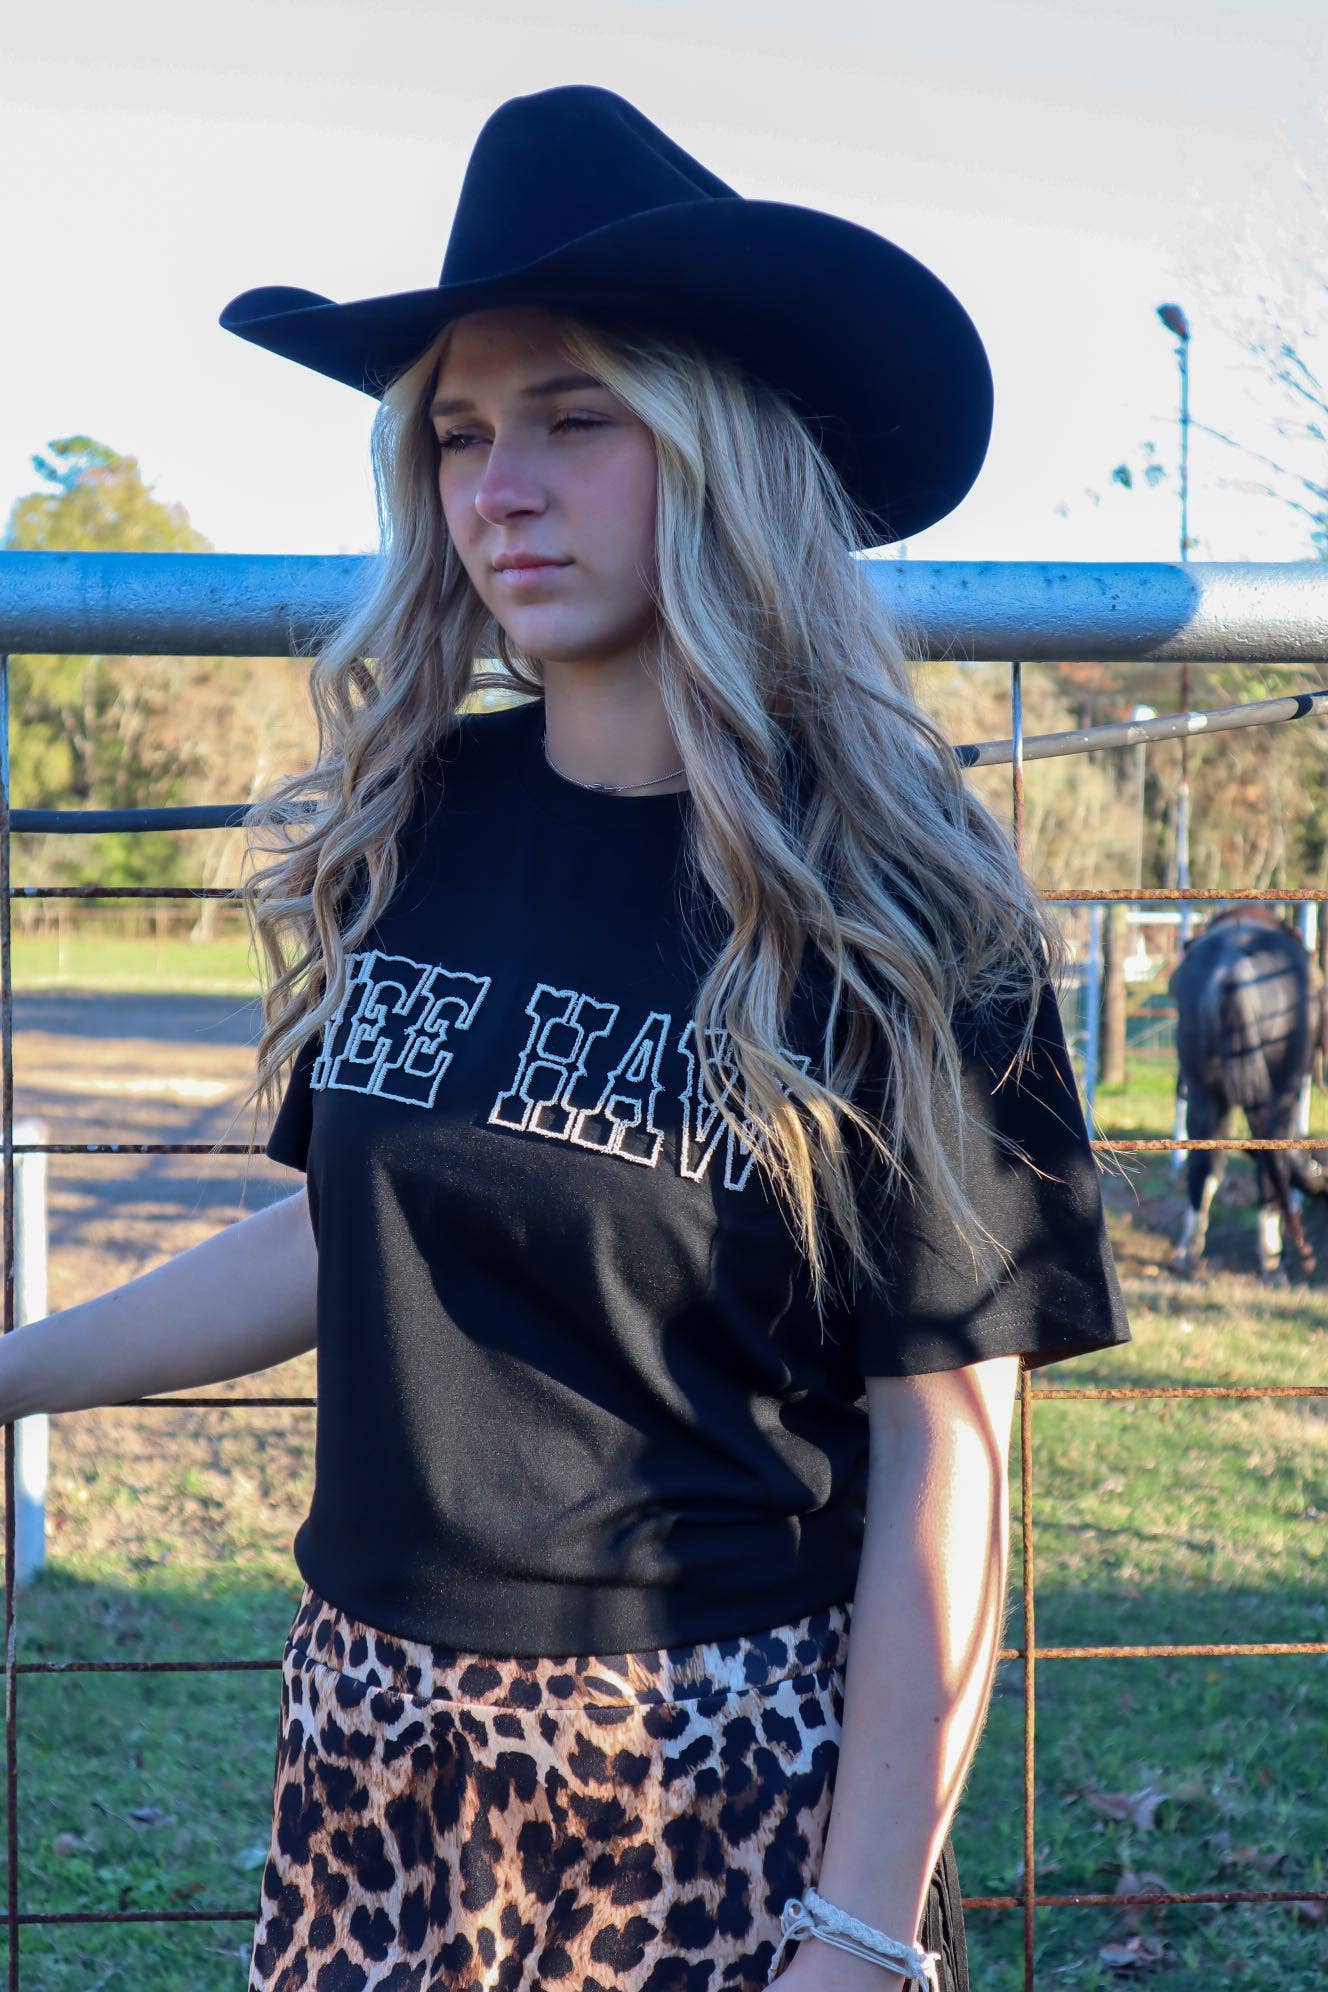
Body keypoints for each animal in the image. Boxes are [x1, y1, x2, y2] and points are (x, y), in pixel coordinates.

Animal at [1170, 904, 1322, 1274]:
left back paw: (1188, 1252)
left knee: (1204, 1163)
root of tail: (1233, 972)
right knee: (1271, 1161)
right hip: (1281, 1090)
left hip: (1203, 1091)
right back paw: (1271, 1255)